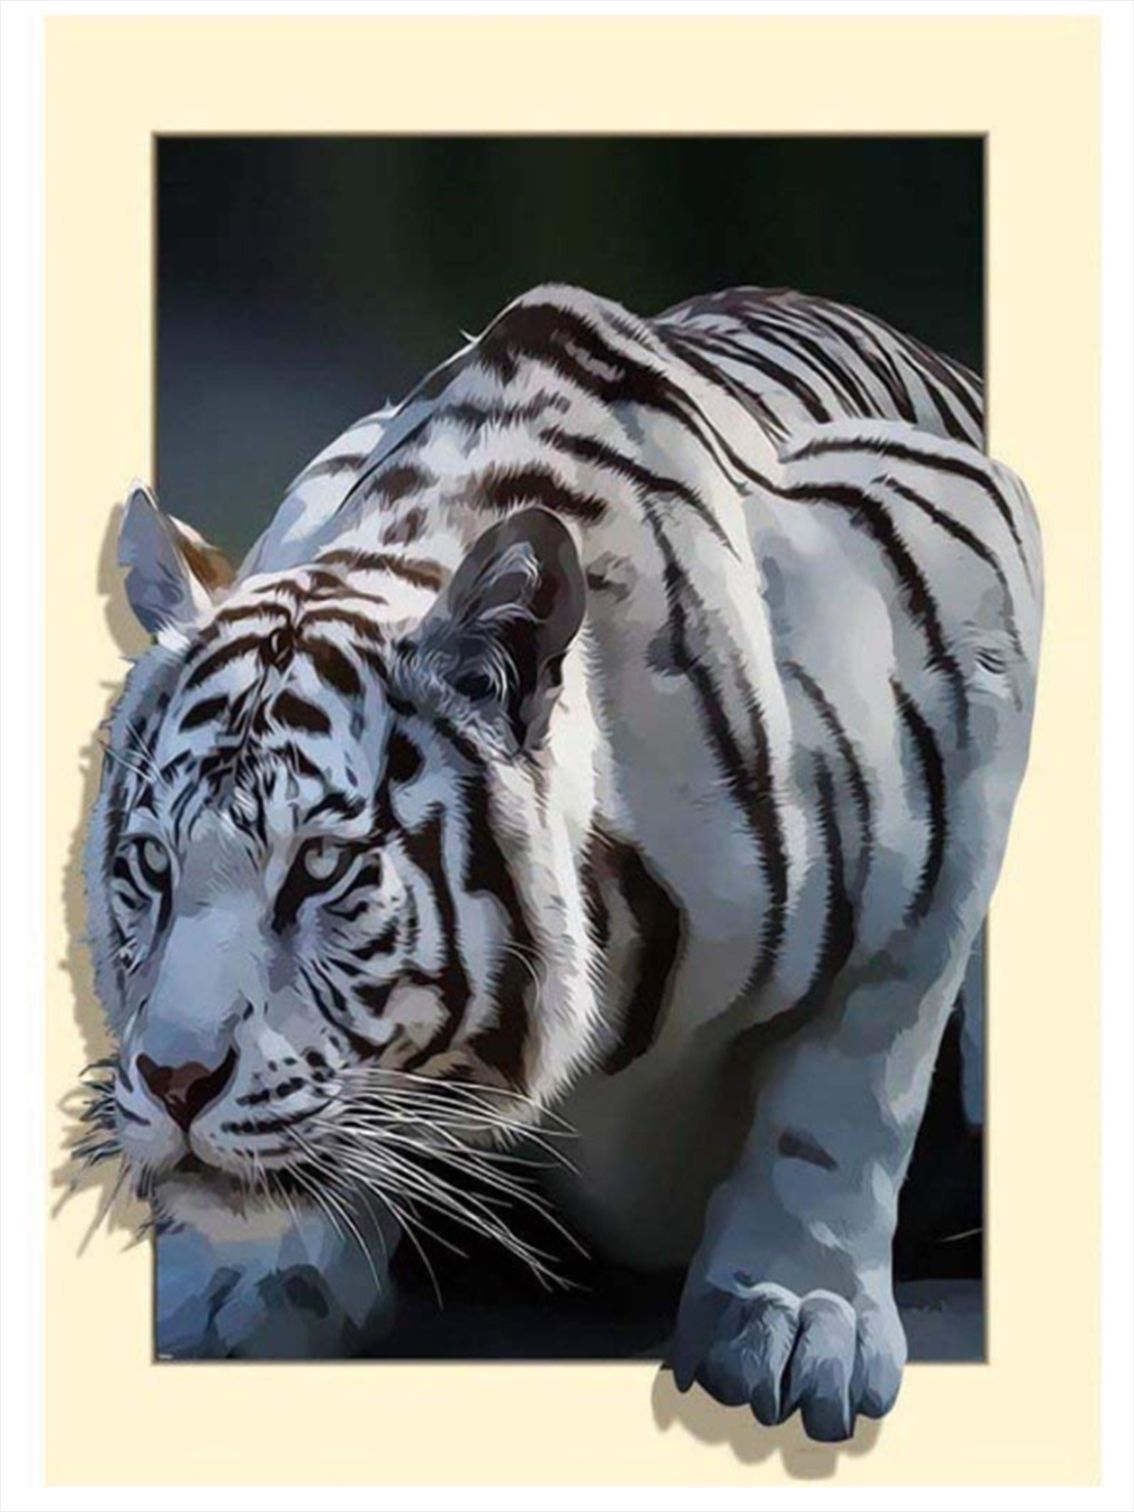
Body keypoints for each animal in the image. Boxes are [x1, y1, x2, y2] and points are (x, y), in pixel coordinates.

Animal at [81, 283, 1040, 1438]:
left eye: (318, 868)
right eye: (150, 865)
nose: (173, 1083)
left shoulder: (969, 595)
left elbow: (855, 1071)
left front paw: (794, 1314)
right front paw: (244, 1276)